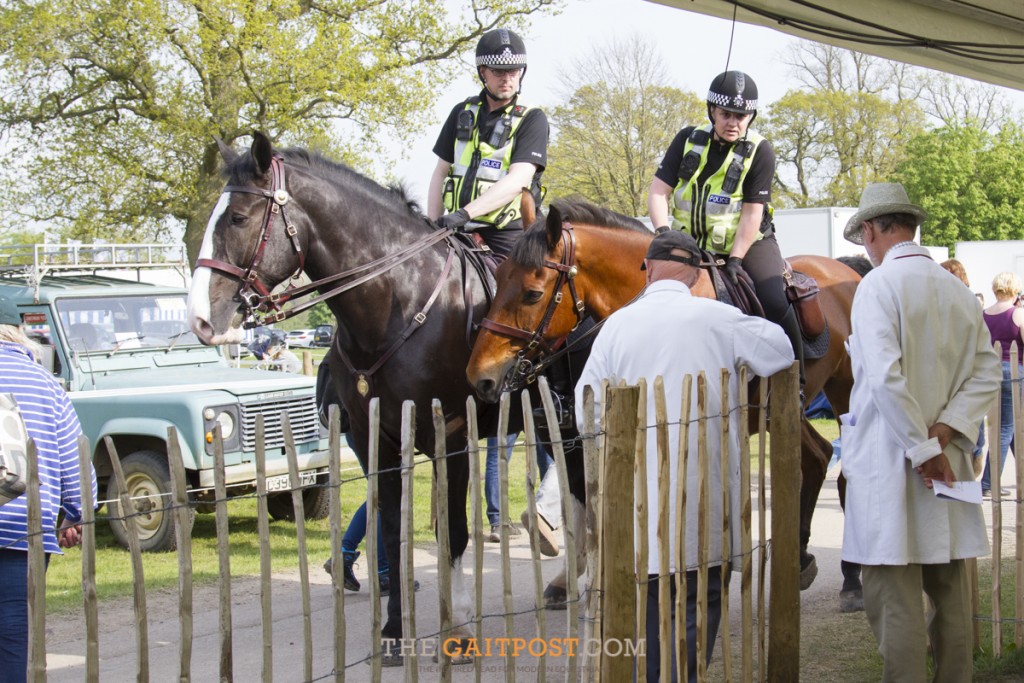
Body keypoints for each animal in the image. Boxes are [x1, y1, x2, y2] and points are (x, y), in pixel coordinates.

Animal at [186, 132, 588, 653]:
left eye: (237, 217)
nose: (199, 318)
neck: (400, 300)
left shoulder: (450, 435)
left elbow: (454, 533)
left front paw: (458, 625)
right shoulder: (373, 439)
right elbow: (393, 532)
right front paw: (395, 629)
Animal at [466, 199, 865, 594]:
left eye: (532, 293)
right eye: (499, 278)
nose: (479, 376)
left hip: (844, 391)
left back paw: (852, 574)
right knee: (819, 456)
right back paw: (801, 558)